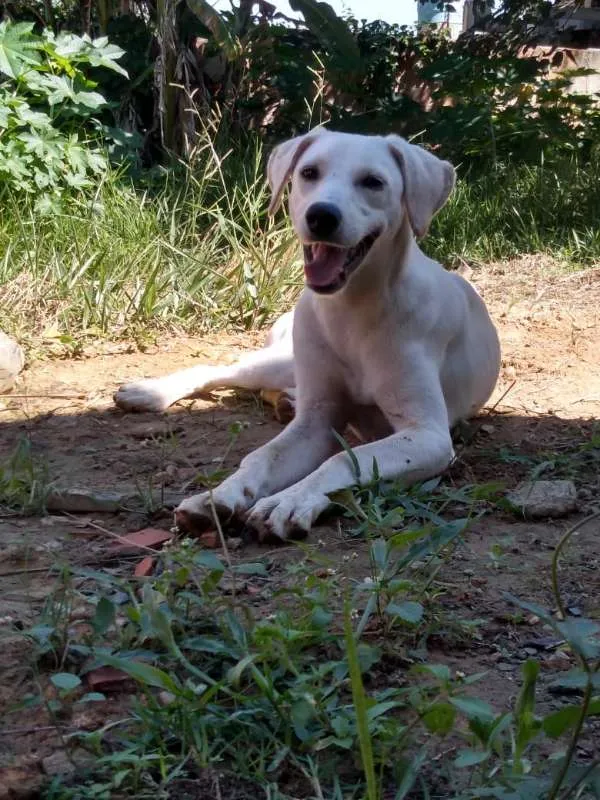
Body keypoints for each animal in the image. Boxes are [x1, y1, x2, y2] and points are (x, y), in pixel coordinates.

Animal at [115, 131, 500, 540]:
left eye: (373, 182)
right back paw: (149, 392)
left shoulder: (427, 435)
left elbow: (343, 459)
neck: (351, 310)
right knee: (217, 370)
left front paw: (289, 500)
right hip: (281, 359)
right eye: (309, 173)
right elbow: (262, 456)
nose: (321, 215)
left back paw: (286, 400)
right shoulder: (315, 424)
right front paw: (218, 495)